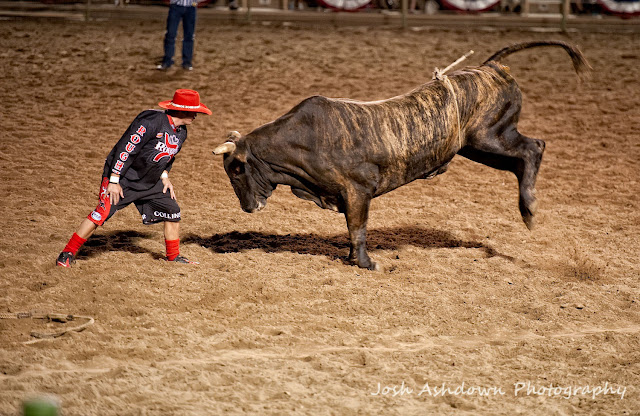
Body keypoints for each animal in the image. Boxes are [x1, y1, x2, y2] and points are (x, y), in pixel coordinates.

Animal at [211, 40, 592, 270]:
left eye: (236, 169)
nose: (248, 208)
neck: (305, 141)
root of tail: (490, 68)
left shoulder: (358, 190)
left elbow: (358, 227)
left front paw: (366, 263)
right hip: (477, 145)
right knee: (522, 158)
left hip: (490, 137)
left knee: (533, 148)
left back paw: (529, 209)